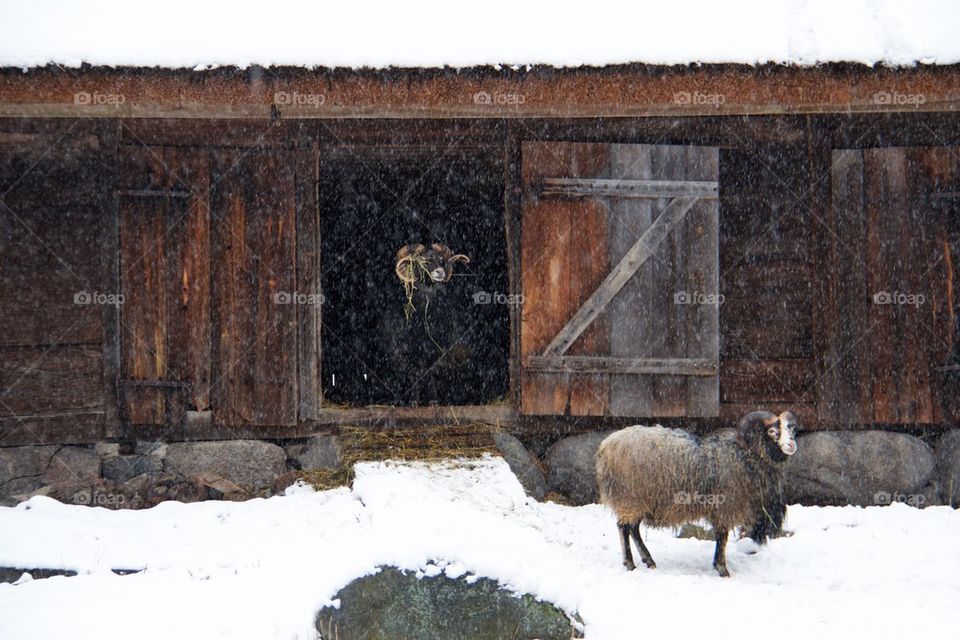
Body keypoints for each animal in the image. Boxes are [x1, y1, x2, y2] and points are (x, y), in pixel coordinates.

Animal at [595, 411, 798, 577]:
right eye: (772, 431)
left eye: (791, 429)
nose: (791, 445)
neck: (746, 455)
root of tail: (607, 445)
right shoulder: (725, 507)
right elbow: (722, 536)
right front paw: (722, 569)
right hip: (630, 498)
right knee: (624, 527)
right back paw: (630, 564)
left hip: (639, 500)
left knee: (634, 529)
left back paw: (649, 561)